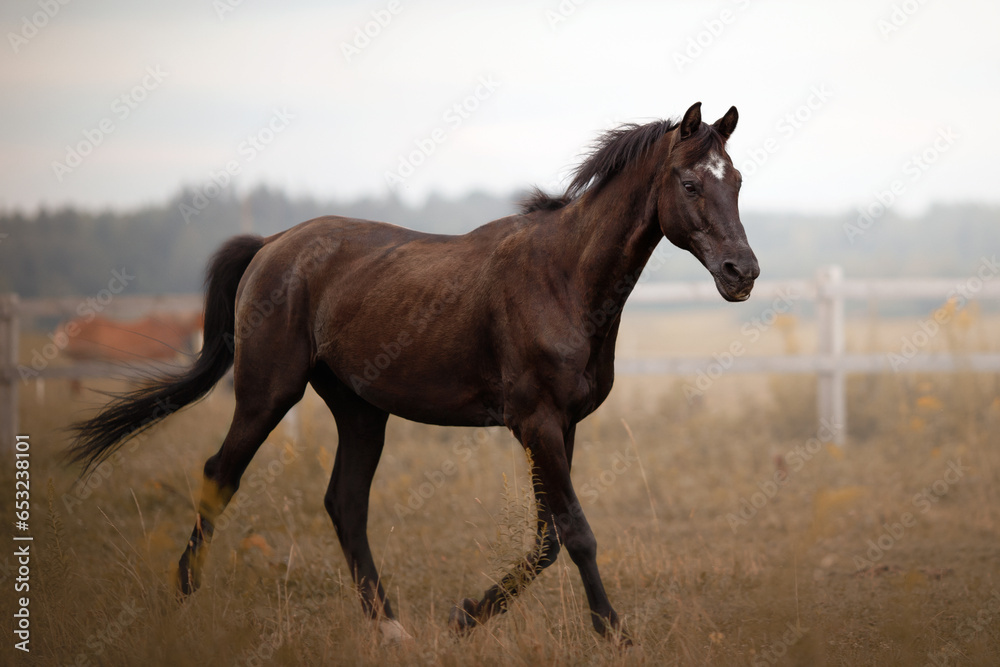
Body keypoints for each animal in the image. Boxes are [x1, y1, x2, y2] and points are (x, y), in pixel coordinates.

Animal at [68, 102, 758, 645]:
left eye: (738, 181)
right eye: (690, 183)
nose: (742, 272)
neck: (563, 278)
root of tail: (270, 246)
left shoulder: (563, 425)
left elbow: (547, 539)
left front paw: (465, 616)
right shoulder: (536, 424)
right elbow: (576, 533)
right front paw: (613, 633)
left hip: (359, 409)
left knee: (344, 503)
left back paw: (391, 627)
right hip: (267, 394)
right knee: (220, 475)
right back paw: (184, 599)